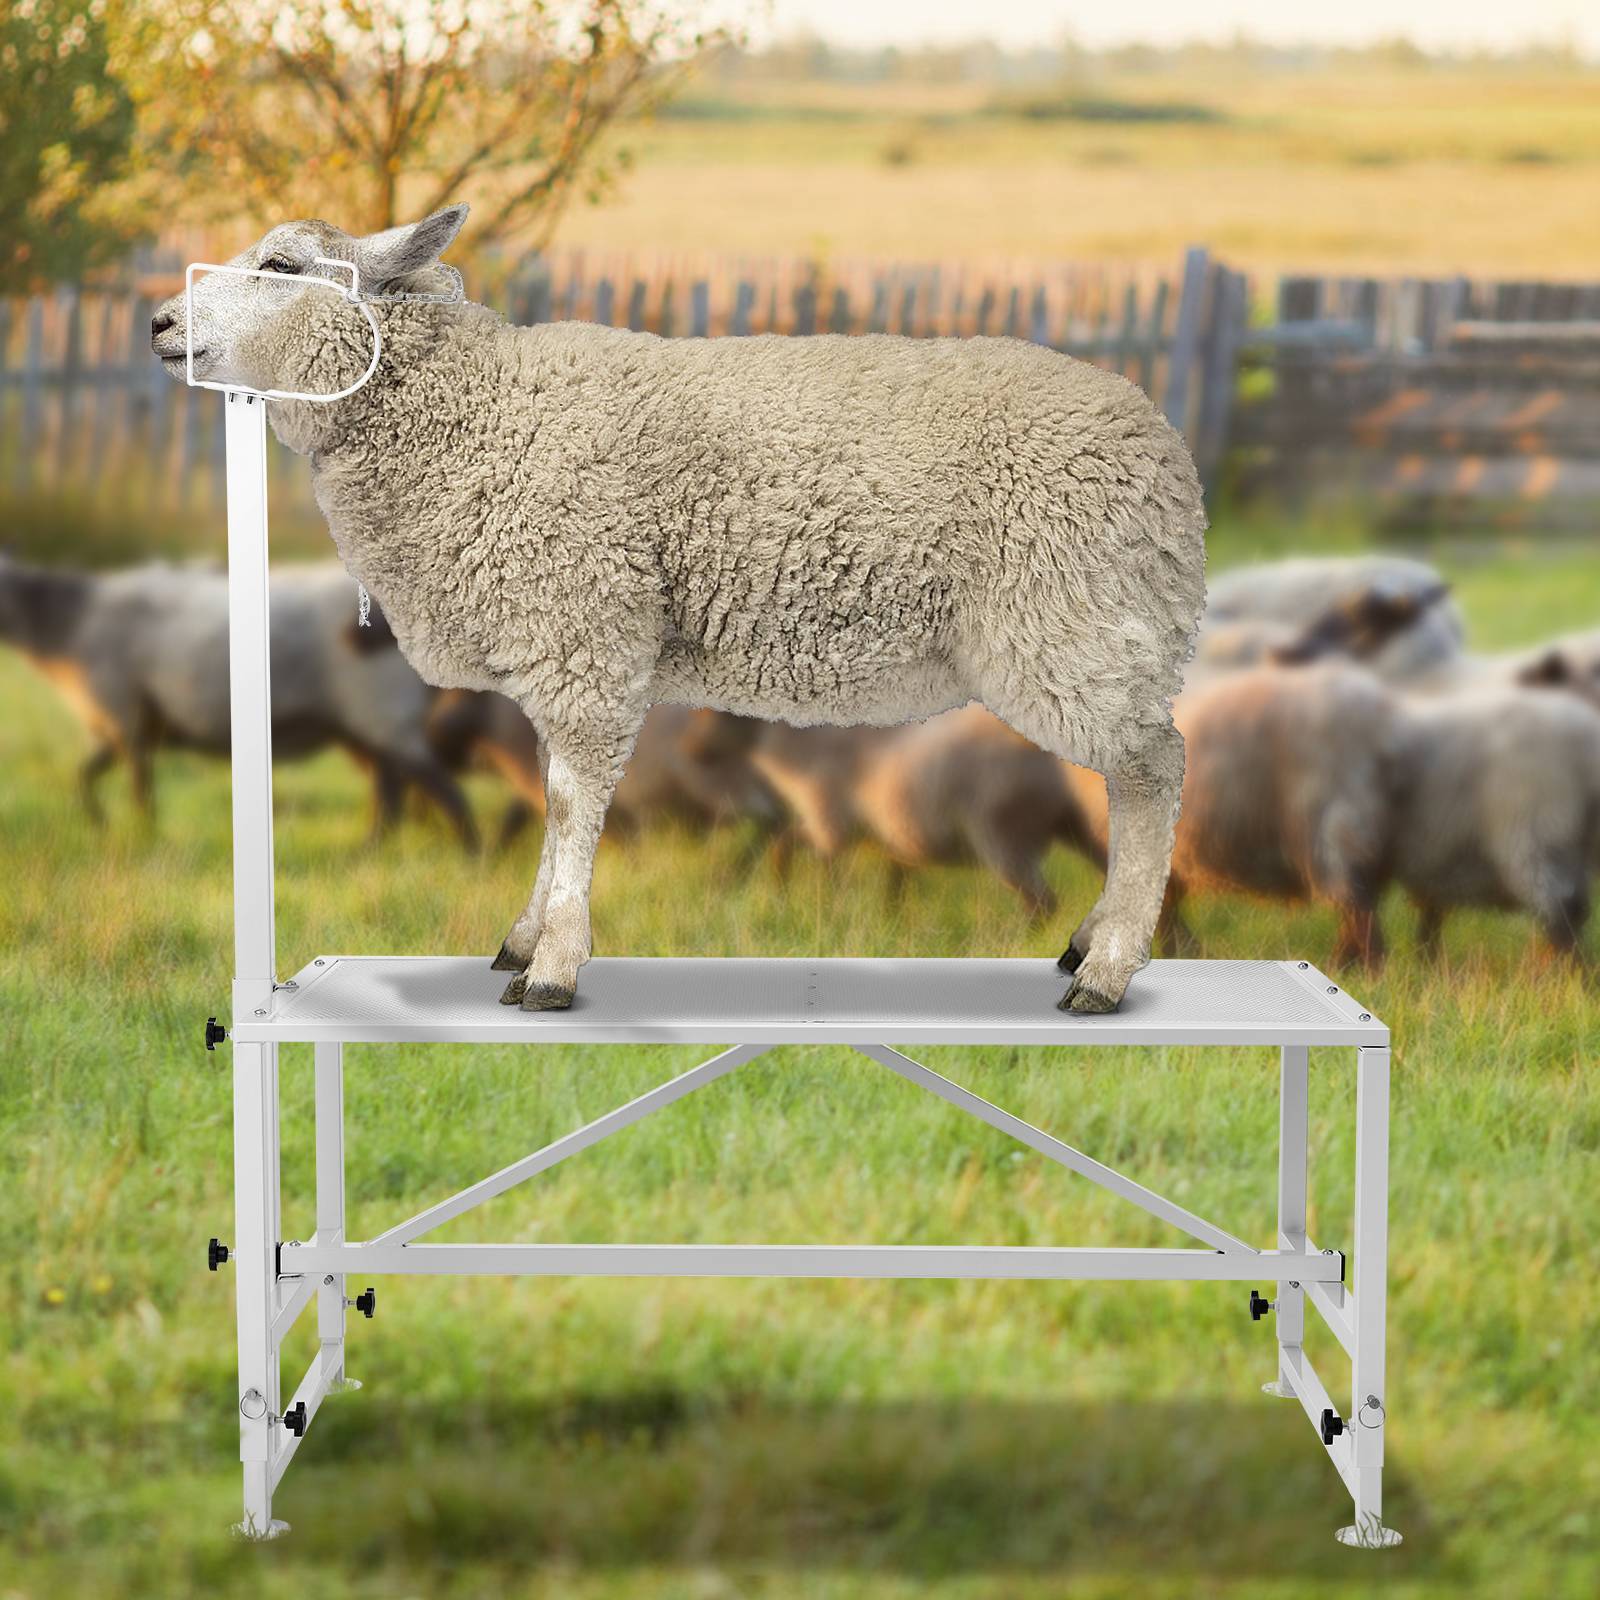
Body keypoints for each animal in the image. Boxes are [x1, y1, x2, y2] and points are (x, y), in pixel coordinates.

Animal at [0, 554, 475, 844]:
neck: (67, 626)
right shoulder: (127, 724)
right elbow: (84, 777)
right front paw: (101, 826)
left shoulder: (125, 716)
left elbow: (138, 787)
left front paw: (145, 834)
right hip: (368, 725)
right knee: (391, 790)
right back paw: (371, 851)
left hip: (382, 713)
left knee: (441, 790)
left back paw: (471, 856)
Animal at [152, 205, 1207, 1011]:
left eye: (281, 265)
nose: (159, 324)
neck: (473, 414)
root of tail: (1167, 457)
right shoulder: (565, 648)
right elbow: (551, 799)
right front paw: (523, 938)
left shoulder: (584, 630)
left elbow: (571, 802)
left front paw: (552, 968)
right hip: (1093, 629)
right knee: (1135, 775)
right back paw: (1088, 943)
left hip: (1068, 621)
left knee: (1154, 771)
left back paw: (1108, 969)